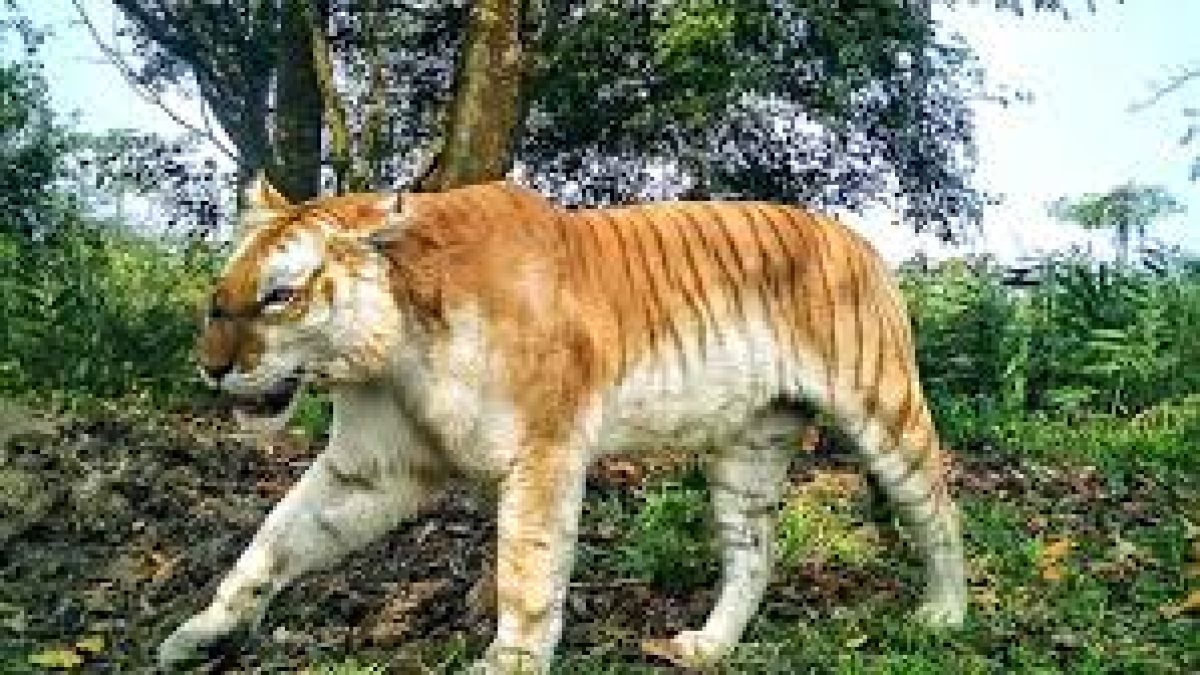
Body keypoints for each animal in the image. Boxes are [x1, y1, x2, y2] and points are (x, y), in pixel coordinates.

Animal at [158, 177, 965, 673]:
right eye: (219, 297)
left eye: (279, 296)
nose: (210, 368)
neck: (394, 348)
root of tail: (857, 239)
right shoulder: (368, 470)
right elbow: (272, 542)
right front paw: (201, 633)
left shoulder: (542, 451)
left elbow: (527, 571)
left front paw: (507, 662)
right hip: (749, 447)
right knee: (753, 555)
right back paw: (706, 647)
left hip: (883, 409)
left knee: (939, 510)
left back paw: (945, 616)